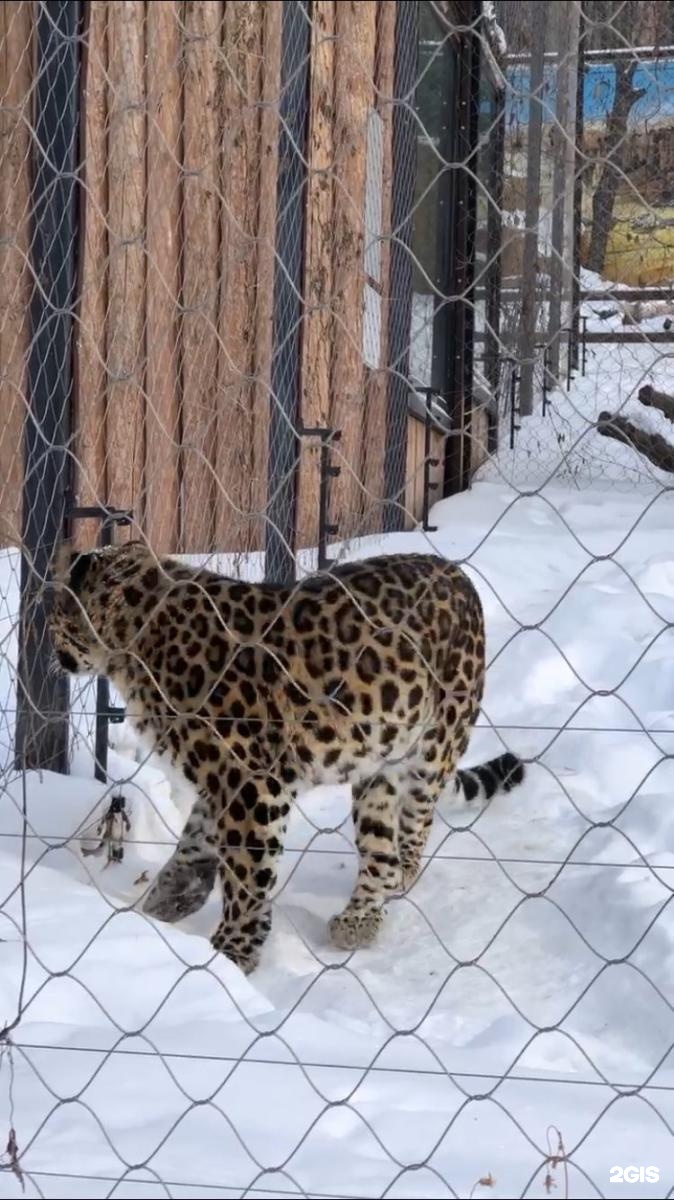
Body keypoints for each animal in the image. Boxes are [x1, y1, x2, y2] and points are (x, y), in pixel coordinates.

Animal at [48, 544, 525, 974]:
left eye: (54, 613)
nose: (52, 650)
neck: (133, 644)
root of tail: (458, 573)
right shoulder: (224, 776)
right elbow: (195, 840)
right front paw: (171, 898)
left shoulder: (251, 780)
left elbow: (246, 871)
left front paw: (232, 952)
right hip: (378, 765)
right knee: (379, 843)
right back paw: (360, 916)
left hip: (433, 746)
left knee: (413, 829)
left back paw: (388, 887)